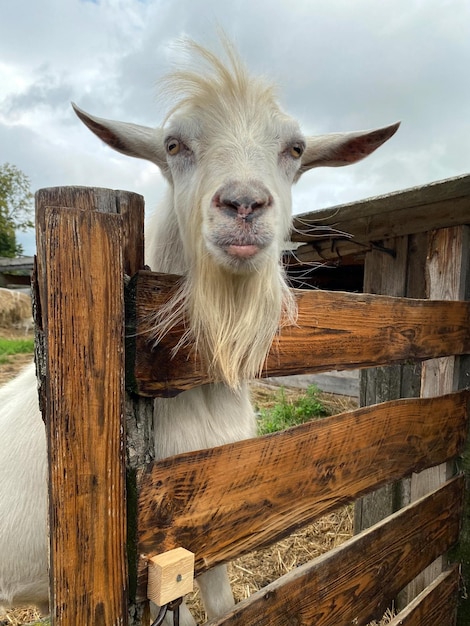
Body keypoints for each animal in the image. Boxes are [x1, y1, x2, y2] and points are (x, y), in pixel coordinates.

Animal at [0, 39, 398, 624]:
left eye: (296, 149)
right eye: (173, 144)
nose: (243, 204)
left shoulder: (215, 519)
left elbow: (224, 601)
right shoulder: (158, 554)